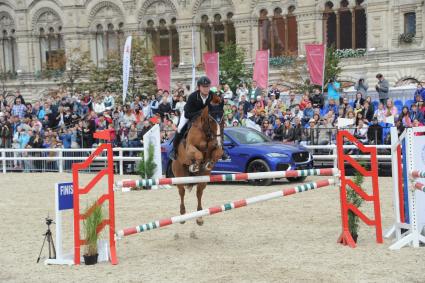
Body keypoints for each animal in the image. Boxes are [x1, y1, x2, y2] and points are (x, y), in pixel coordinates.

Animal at [171, 97, 224, 226]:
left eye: (223, 116)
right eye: (210, 120)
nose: (219, 140)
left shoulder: (215, 148)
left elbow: (217, 153)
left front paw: (209, 163)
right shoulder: (190, 148)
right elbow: (199, 154)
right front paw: (195, 166)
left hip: (203, 180)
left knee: (199, 193)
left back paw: (199, 217)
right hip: (179, 176)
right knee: (181, 192)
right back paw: (182, 216)